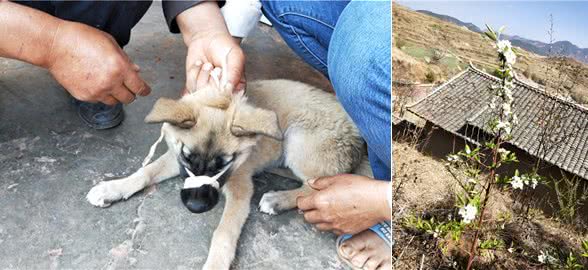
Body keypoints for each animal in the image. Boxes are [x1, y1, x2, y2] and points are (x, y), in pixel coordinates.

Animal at [86, 80, 368, 270]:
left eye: (224, 163)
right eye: (188, 157)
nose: (196, 207)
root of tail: (359, 137)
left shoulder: (241, 188)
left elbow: (223, 232)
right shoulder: (175, 159)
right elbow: (145, 172)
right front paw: (113, 188)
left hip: (298, 140)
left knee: (317, 188)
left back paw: (278, 199)